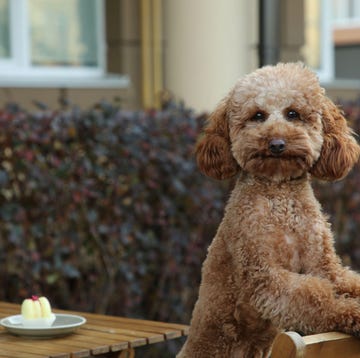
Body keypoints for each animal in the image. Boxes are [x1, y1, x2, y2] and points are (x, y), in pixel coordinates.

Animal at [176, 63, 360, 356]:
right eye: (258, 115)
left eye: (293, 113)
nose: (276, 144)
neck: (280, 198)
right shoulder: (266, 277)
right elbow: (315, 296)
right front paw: (353, 313)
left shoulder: (324, 265)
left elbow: (346, 281)